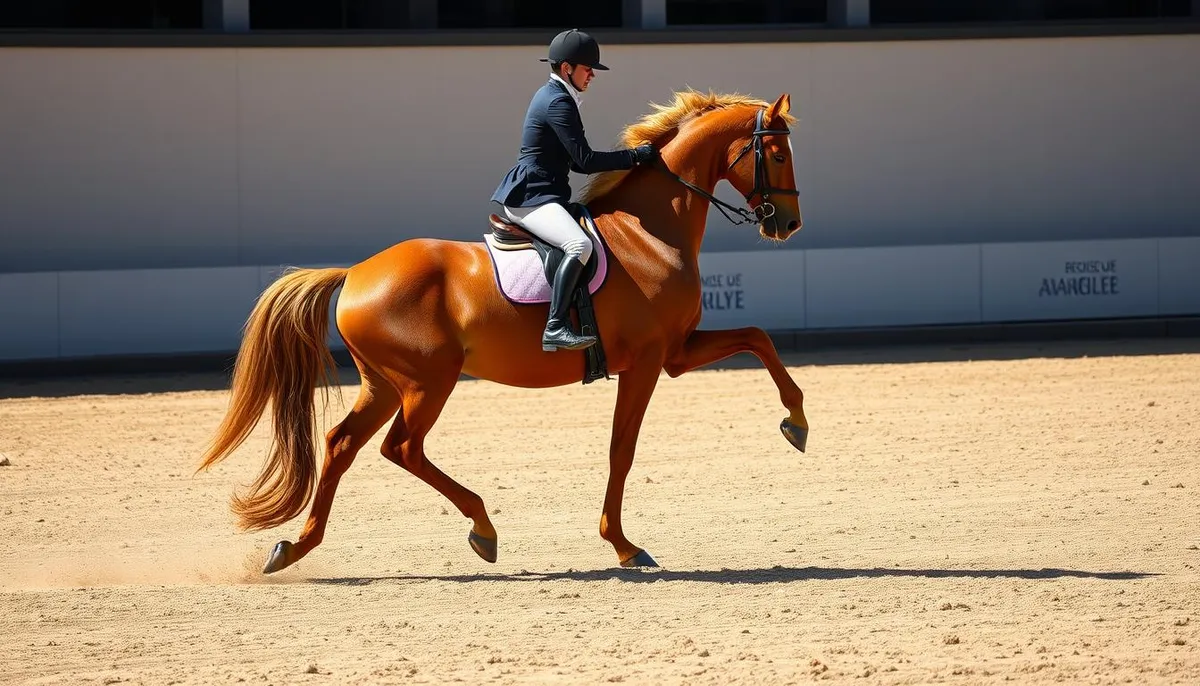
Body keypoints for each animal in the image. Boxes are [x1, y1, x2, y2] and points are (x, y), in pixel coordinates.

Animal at [197, 89, 809, 574]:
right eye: (777, 154)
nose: (788, 224)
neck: (650, 233)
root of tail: (354, 274)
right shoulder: (649, 361)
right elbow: (622, 450)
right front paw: (624, 545)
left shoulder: (676, 353)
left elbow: (758, 336)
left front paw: (796, 423)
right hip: (427, 383)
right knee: (402, 448)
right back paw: (482, 528)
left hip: (384, 384)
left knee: (342, 445)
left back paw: (295, 549)